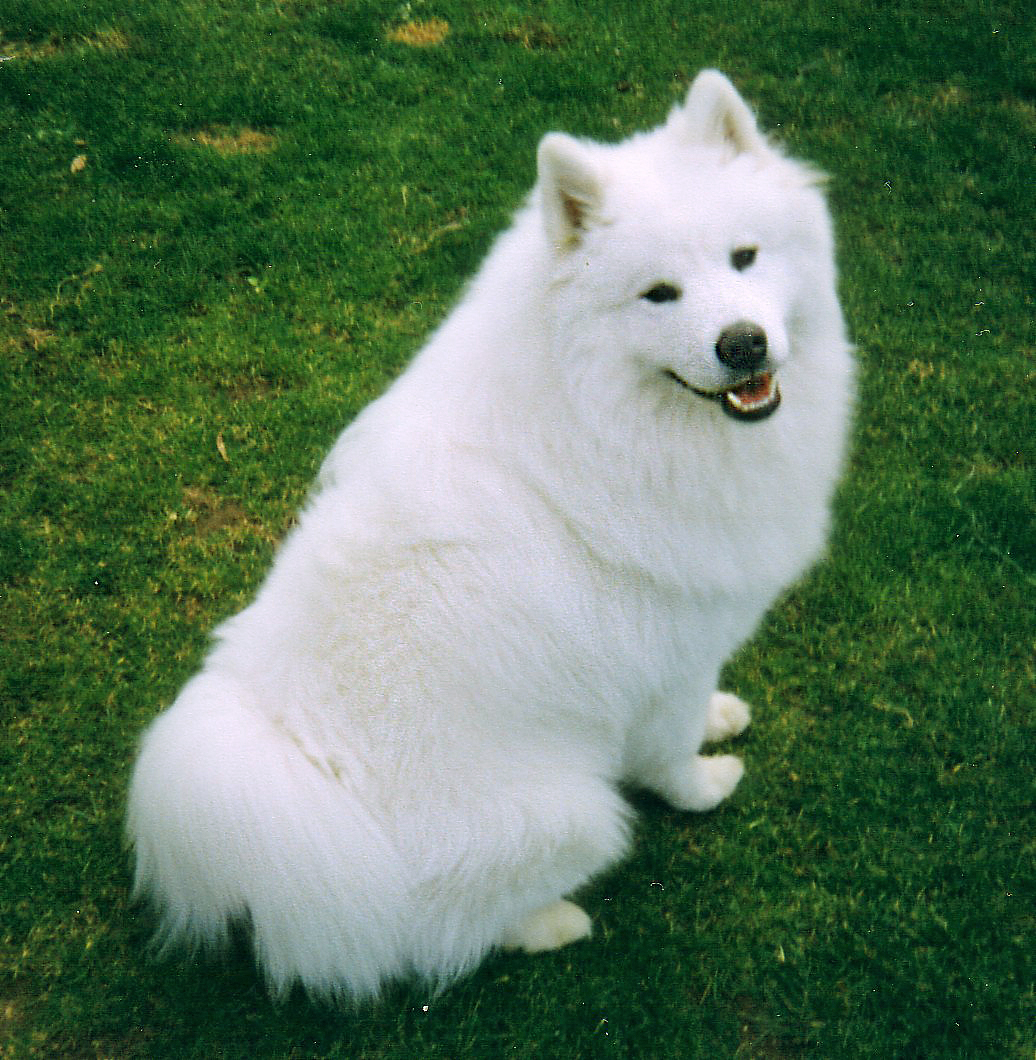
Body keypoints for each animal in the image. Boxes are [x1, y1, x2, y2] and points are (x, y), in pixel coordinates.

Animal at [125, 70, 852, 996]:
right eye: (658, 294)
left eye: (745, 257)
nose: (743, 344)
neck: (604, 413)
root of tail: (320, 793)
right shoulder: (670, 656)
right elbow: (670, 751)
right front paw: (705, 784)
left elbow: (698, 712)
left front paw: (723, 716)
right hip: (572, 815)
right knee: (444, 935)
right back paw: (552, 923)